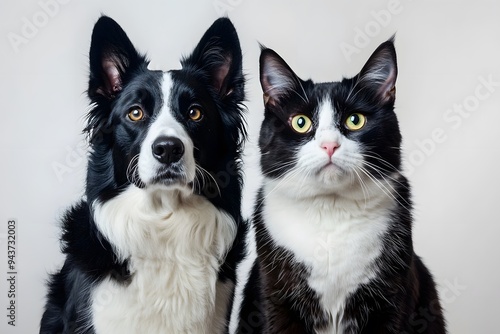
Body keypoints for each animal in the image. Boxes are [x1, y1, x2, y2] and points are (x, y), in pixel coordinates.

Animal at [230, 39, 446, 334]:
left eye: (355, 120)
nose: (329, 145)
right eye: (300, 122)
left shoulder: (392, 297)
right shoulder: (275, 296)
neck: (330, 210)